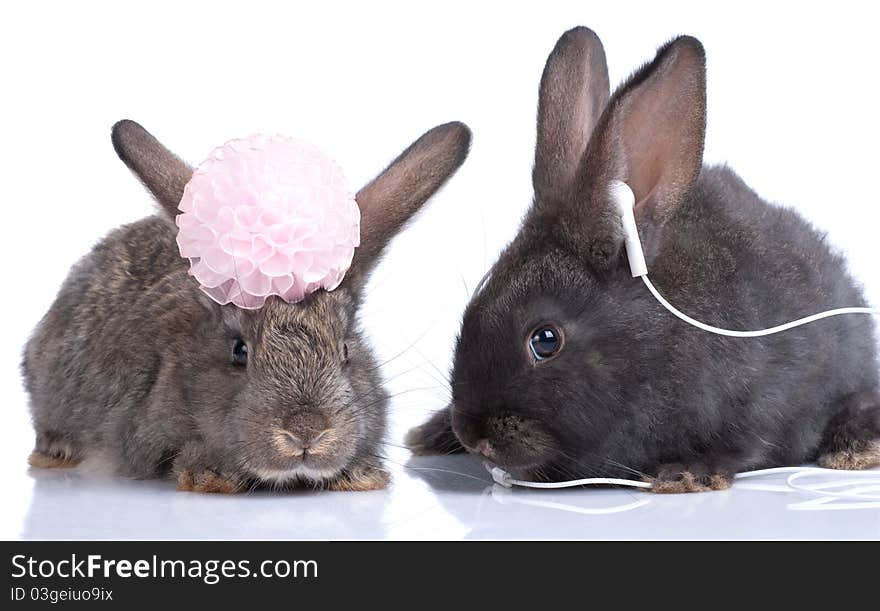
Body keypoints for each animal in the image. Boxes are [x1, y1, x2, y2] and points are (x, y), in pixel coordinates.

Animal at [410, 28, 880, 494]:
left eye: (545, 340)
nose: (473, 435)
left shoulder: (764, 401)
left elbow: (745, 447)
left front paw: (686, 474)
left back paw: (857, 448)